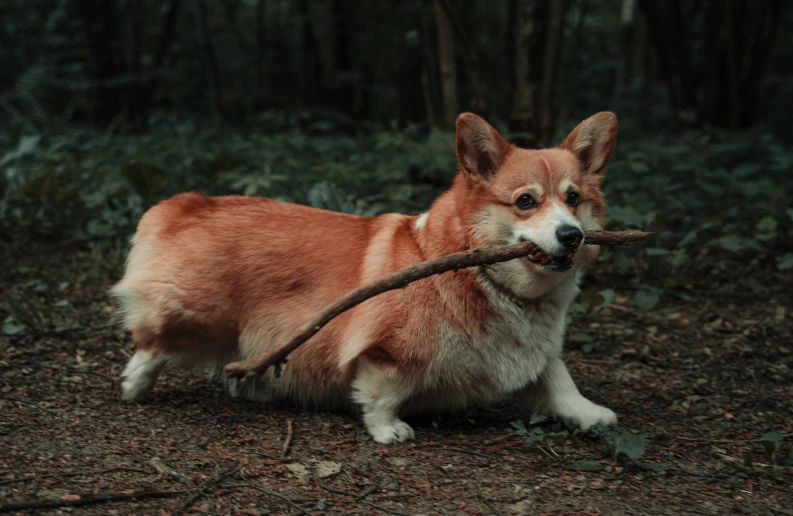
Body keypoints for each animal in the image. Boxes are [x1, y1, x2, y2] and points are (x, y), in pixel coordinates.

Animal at [111, 112, 620, 444]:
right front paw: (388, 429)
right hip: (198, 317)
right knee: (154, 344)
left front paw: (590, 414)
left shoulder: (537, 352)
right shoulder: (389, 350)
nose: (571, 236)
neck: (482, 278)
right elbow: (383, 391)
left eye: (573, 198)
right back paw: (135, 385)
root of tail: (188, 204)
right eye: (525, 201)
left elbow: (558, 379)